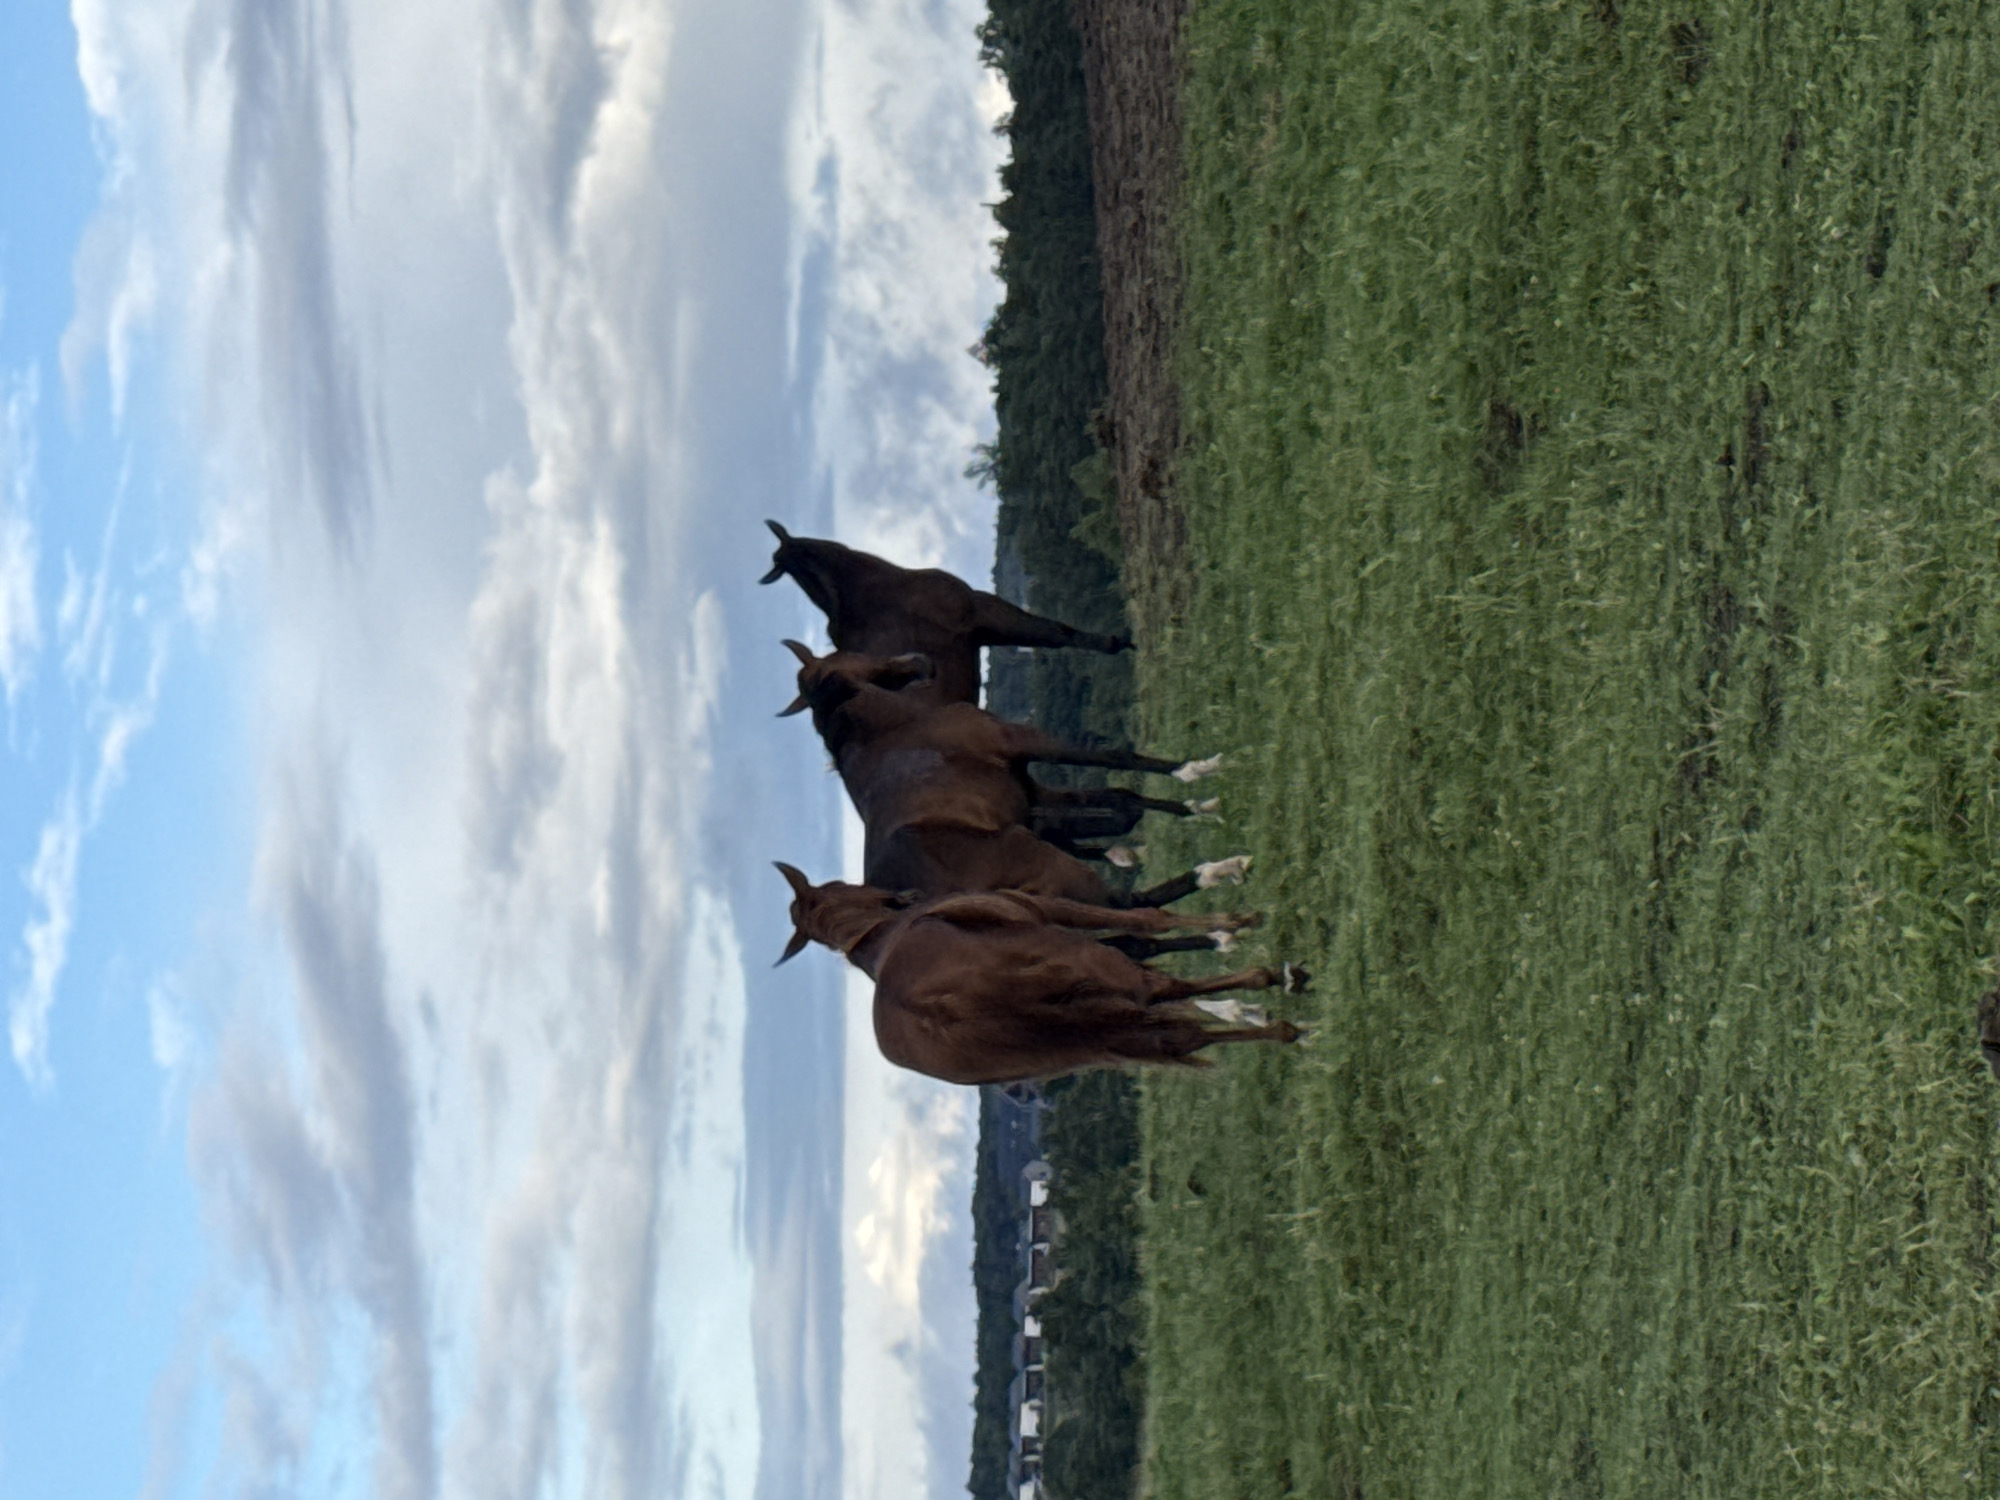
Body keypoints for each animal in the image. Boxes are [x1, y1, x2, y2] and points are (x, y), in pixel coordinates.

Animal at [773, 864, 1307, 1084]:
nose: (902, 895)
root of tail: (934, 1010)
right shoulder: (1054, 911)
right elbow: (1148, 921)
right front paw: (1236, 924)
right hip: (1093, 979)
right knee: (1161, 991)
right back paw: (1276, 994)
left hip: (1072, 1042)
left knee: (1176, 1036)